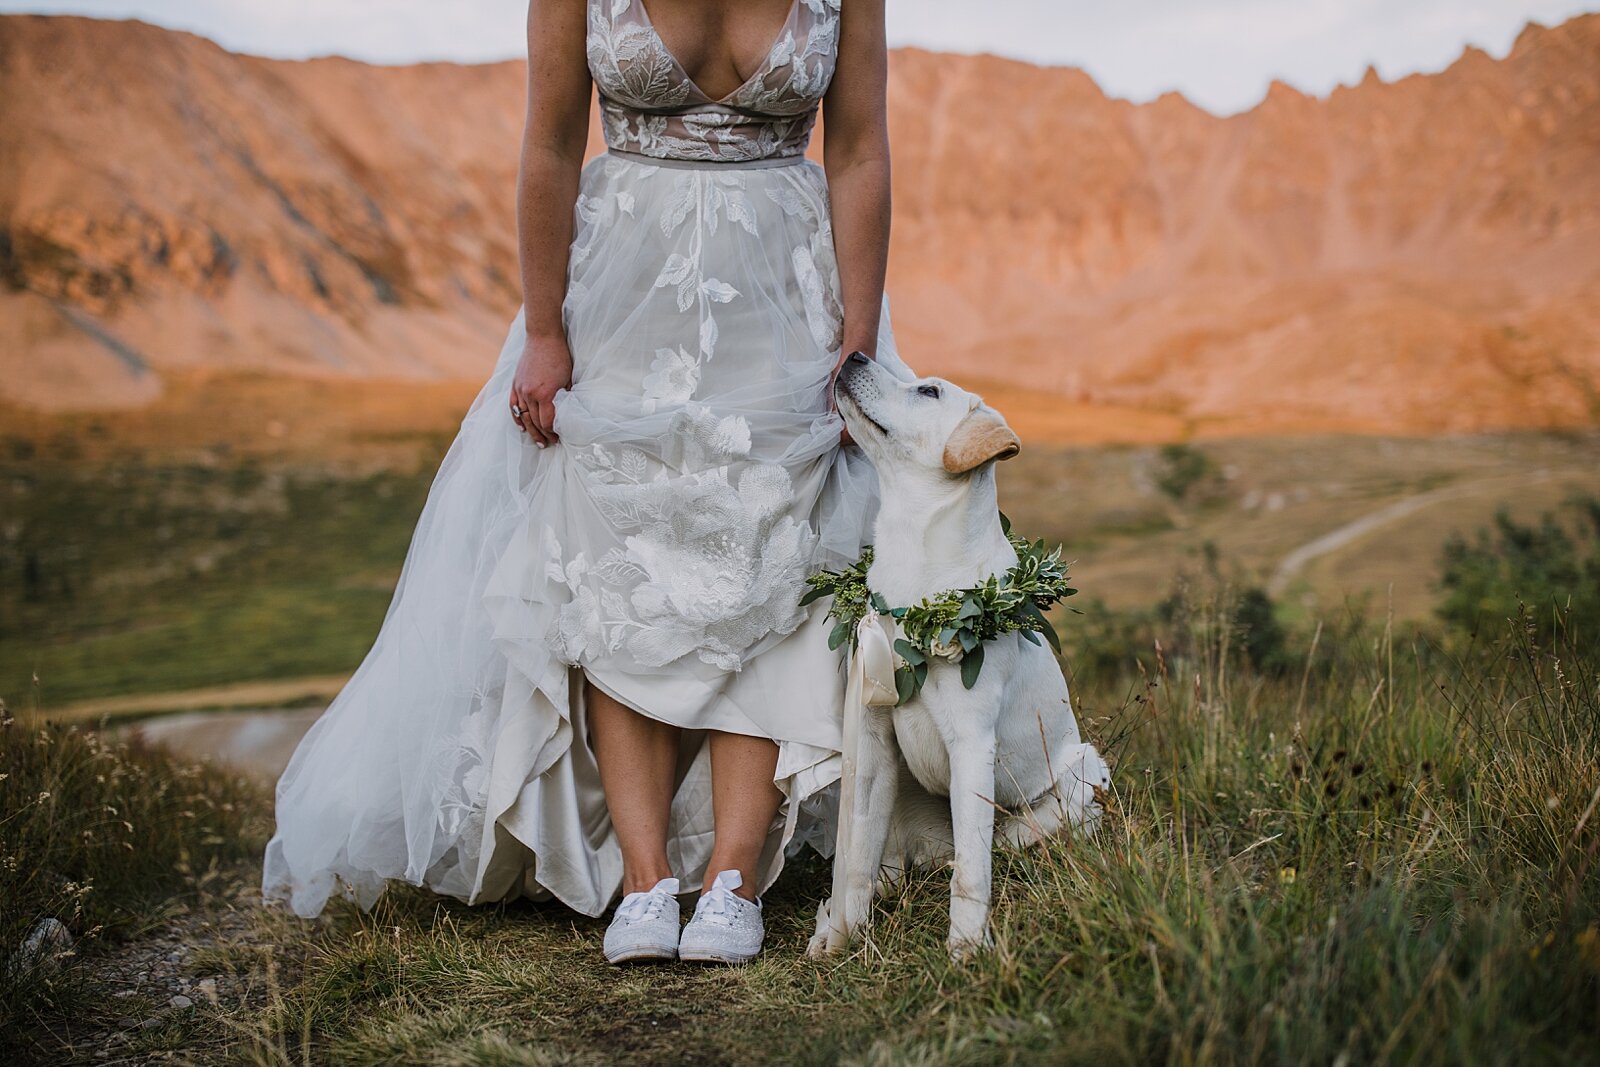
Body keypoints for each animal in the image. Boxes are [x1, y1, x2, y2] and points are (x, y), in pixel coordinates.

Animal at [806, 351, 1107, 959]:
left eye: (928, 392)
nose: (854, 353)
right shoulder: (872, 736)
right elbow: (855, 857)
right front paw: (844, 936)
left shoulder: (972, 741)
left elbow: (972, 872)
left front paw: (967, 951)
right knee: (887, 862)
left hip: (1083, 775)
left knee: (999, 847)